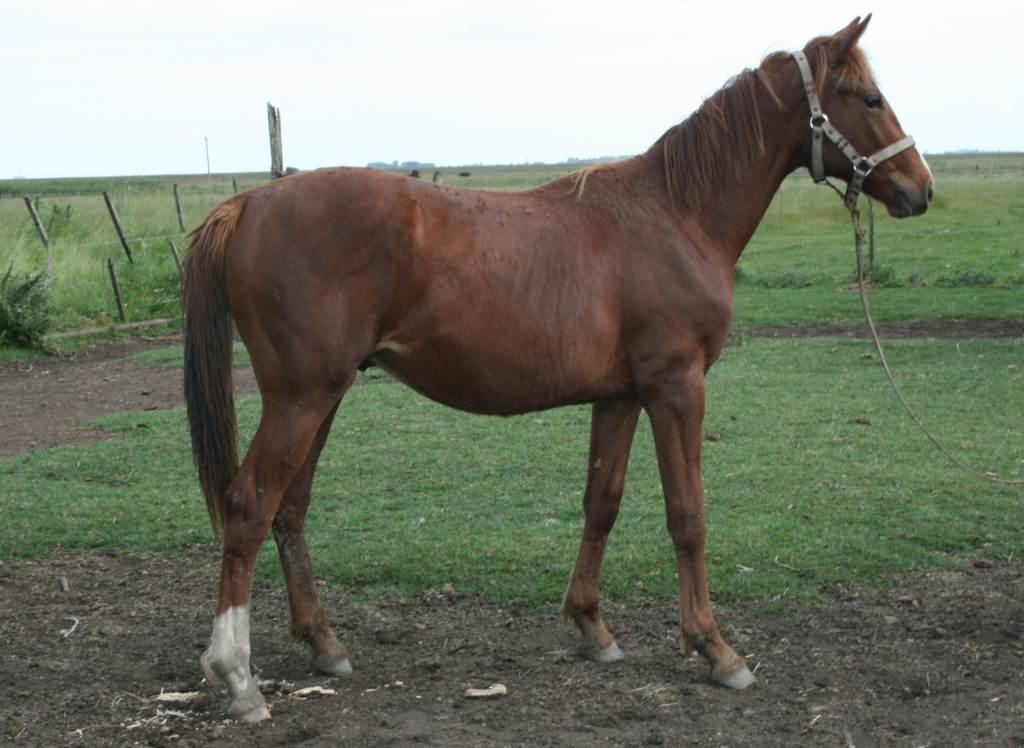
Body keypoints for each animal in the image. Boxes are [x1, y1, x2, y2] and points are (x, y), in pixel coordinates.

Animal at [183, 16, 932, 722]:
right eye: (870, 98)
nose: (920, 189)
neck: (678, 213)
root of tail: (247, 202)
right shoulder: (676, 386)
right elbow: (687, 515)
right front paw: (715, 649)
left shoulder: (621, 396)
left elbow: (602, 501)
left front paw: (592, 628)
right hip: (301, 399)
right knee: (249, 506)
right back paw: (237, 677)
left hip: (324, 397)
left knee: (290, 509)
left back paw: (324, 644)